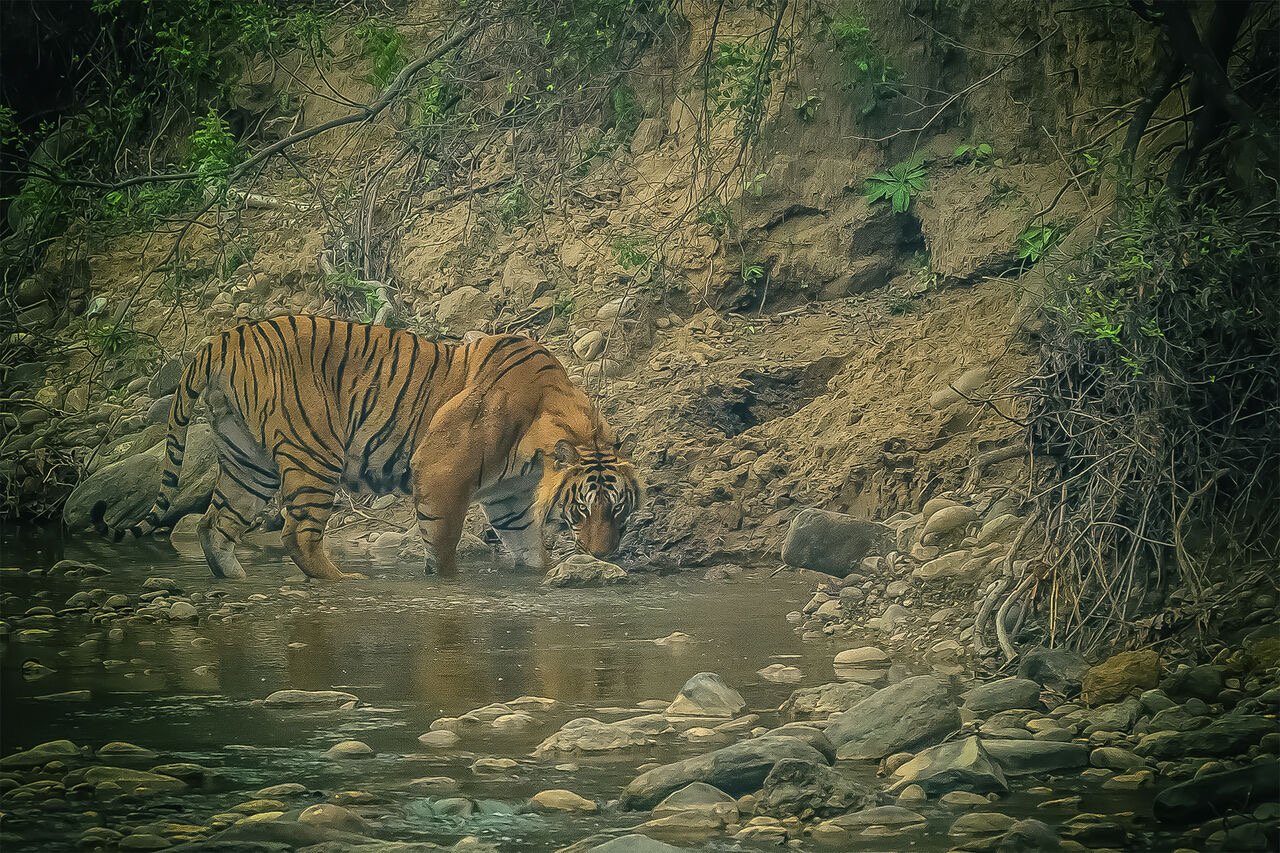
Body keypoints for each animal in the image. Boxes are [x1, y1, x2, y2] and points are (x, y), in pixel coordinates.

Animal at [100, 315, 643, 581]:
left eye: (619, 509)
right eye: (583, 508)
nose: (603, 556)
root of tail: (225, 337)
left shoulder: (509, 498)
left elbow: (527, 545)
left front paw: (546, 574)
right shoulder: (442, 470)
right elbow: (443, 546)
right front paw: (448, 583)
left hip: (246, 462)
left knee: (215, 525)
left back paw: (234, 580)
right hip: (314, 453)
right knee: (297, 535)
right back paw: (344, 582)